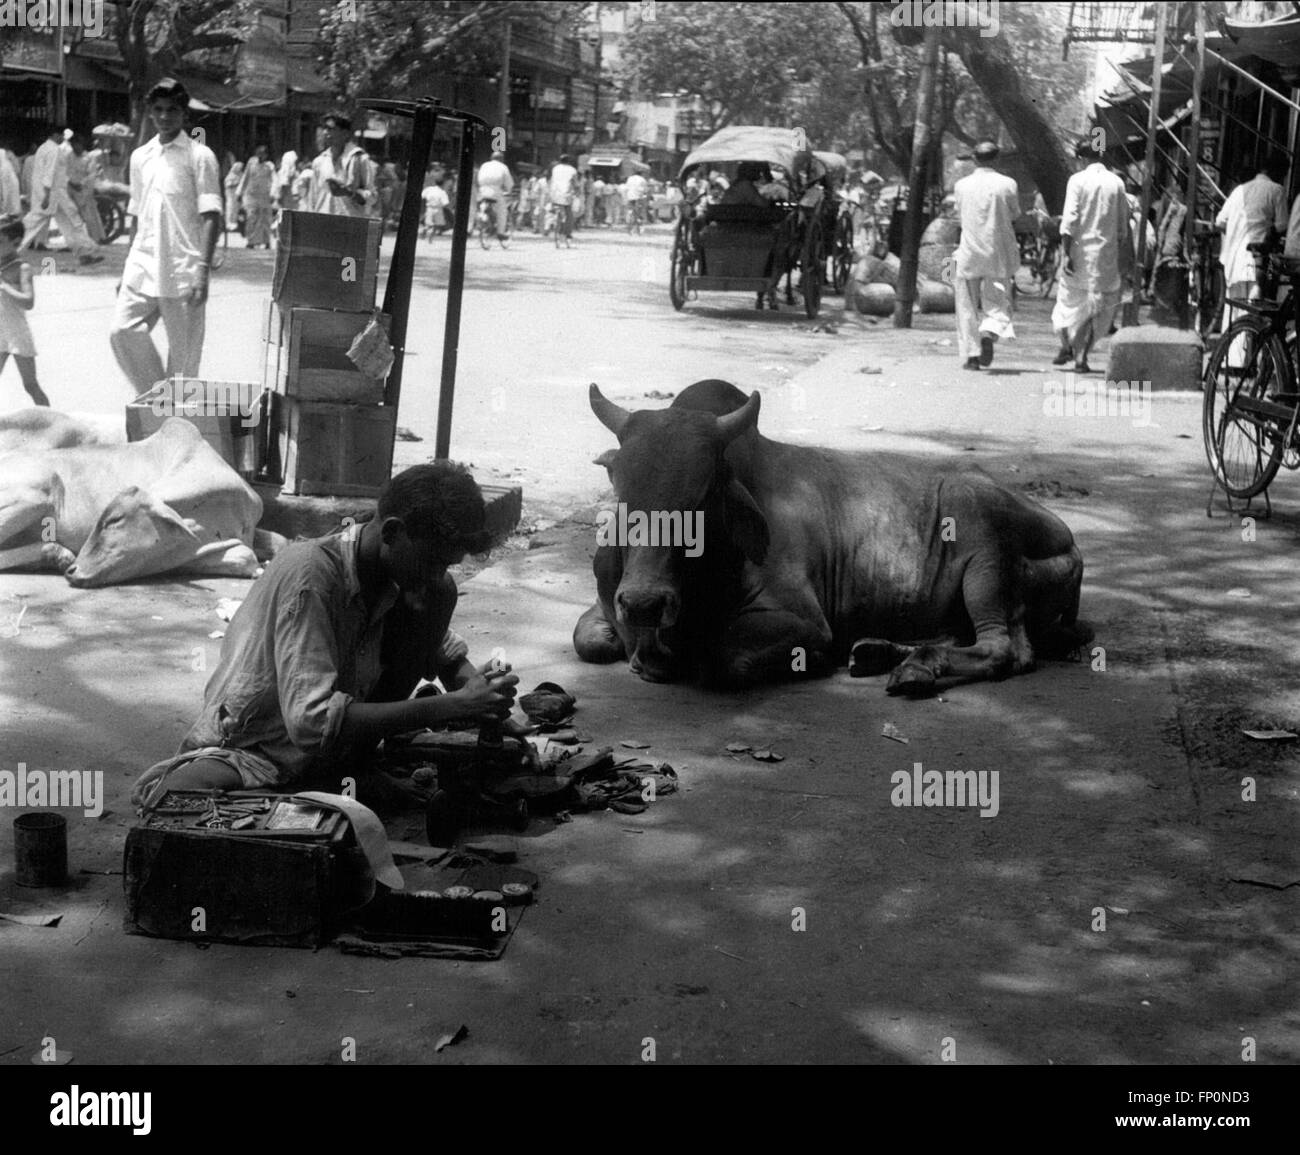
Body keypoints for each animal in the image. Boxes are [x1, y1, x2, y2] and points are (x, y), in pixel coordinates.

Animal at [574, 379, 1092, 697]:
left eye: (702, 495)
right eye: (620, 486)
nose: (643, 604)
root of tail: (1070, 544)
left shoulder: (801, 620)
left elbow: (723, 659)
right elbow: (588, 640)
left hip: (985, 550)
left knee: (1003, 648)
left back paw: (914, 669)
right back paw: (879, 653)